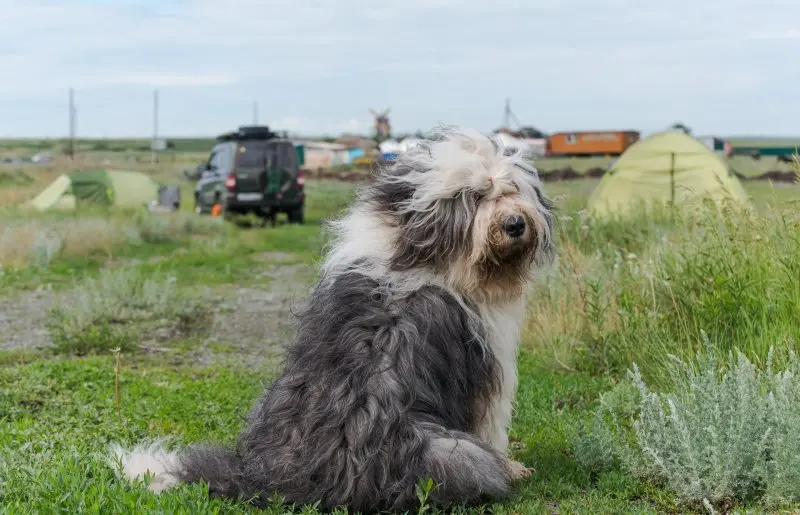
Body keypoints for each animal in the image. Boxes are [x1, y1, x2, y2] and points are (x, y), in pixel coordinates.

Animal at [108, 127, 556, 512]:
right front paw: (515, 468)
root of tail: (282, 480)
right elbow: (492, 424)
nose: (514, 224)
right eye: (476, 197)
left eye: (511, 190)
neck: (422, 256)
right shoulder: (489, 372)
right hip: (454, 453)